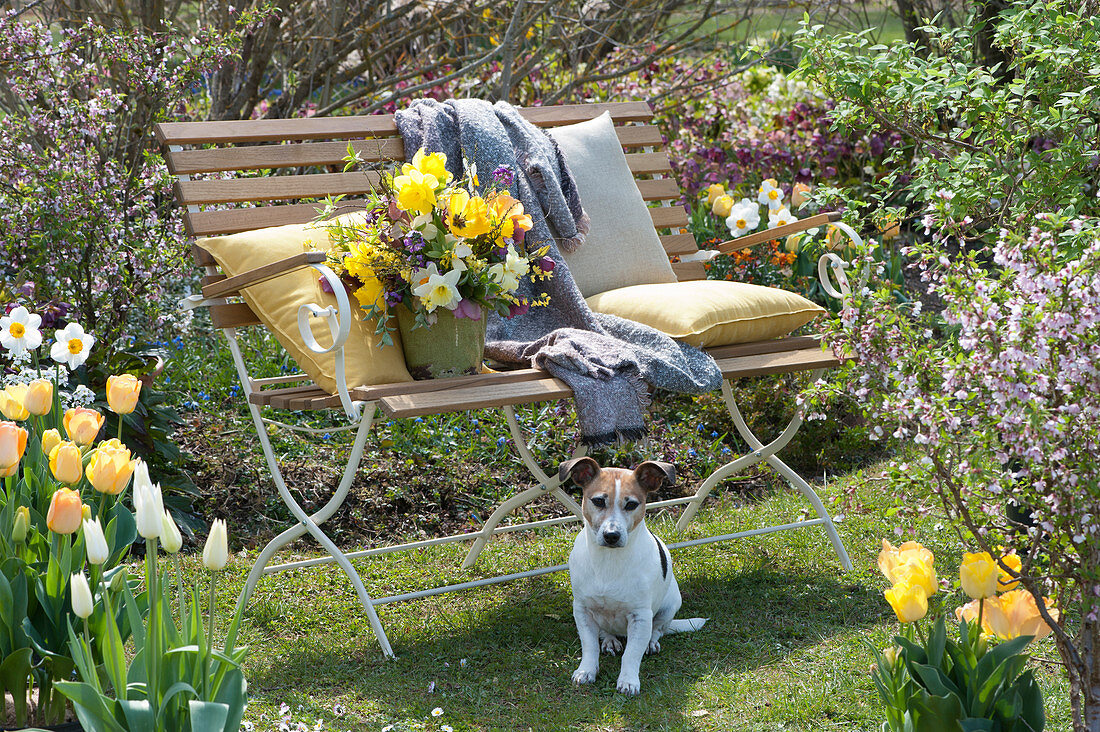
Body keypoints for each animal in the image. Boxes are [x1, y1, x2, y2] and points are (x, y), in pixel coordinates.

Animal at [563, 453, 708, 695]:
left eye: (631, 504)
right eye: (598, 501)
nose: (611, 535)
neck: (609, 561)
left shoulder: (640, 616)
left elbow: (631, 654)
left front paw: (629, 680)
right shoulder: (582, 611)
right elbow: (589, 646)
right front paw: (586, 670)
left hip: (670, 605)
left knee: (658, 630)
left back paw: (651, 642)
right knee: (605, 633)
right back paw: (610, 639)